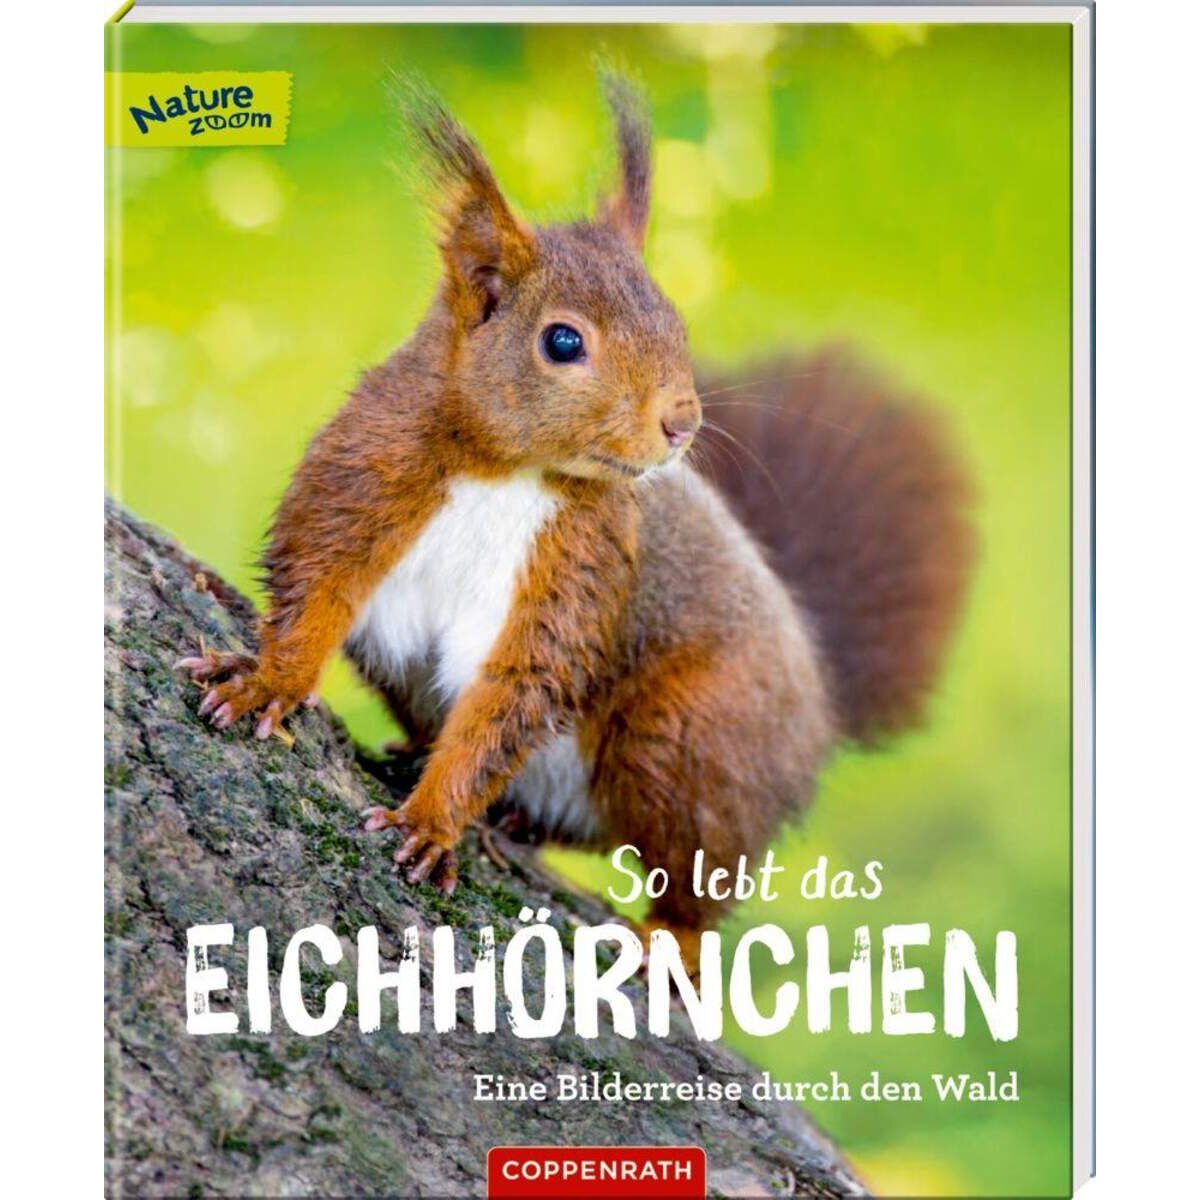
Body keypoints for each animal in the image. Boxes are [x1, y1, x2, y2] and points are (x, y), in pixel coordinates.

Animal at [178, 76, 974, 956]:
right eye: (563, 342)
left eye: (677, 324)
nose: (682, 422)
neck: (504, 471)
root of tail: (820, 703)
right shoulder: (364, 477)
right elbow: (315, 588)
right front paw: (266, 684)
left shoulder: (581, 565)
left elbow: (515, 693)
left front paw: (431, 823)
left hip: (688, 735)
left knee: (696, 869)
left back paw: (670, 939)